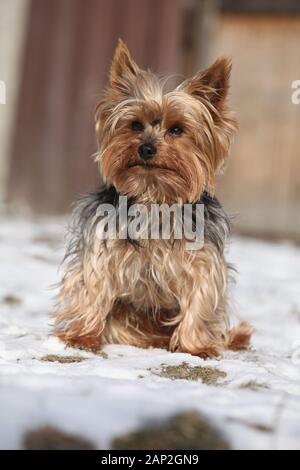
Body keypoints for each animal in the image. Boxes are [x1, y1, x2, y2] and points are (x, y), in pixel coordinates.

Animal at [53, 40, 251, 358]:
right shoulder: (102, 248)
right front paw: (83, 337)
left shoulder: (202, 259)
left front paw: (196, 347)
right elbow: (94, 287)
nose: (146, 148)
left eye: (177, 130)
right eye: (135, 125)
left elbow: (200, 298)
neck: (154, 196)